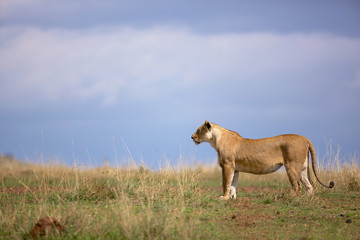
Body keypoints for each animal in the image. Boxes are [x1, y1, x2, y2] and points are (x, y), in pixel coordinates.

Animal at [191, 121, 334, 200]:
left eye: (198, 130)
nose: (191, 137)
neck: (215, 139)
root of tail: (305, 138)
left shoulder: (227, 165)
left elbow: (226, 183)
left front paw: (224, 198)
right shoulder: (235, 168)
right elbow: (233, 185)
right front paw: (232, 198)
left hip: (291, 165)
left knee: (297, 185)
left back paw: (287, 198)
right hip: (303, 167)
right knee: (309, 186)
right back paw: (306, 199)